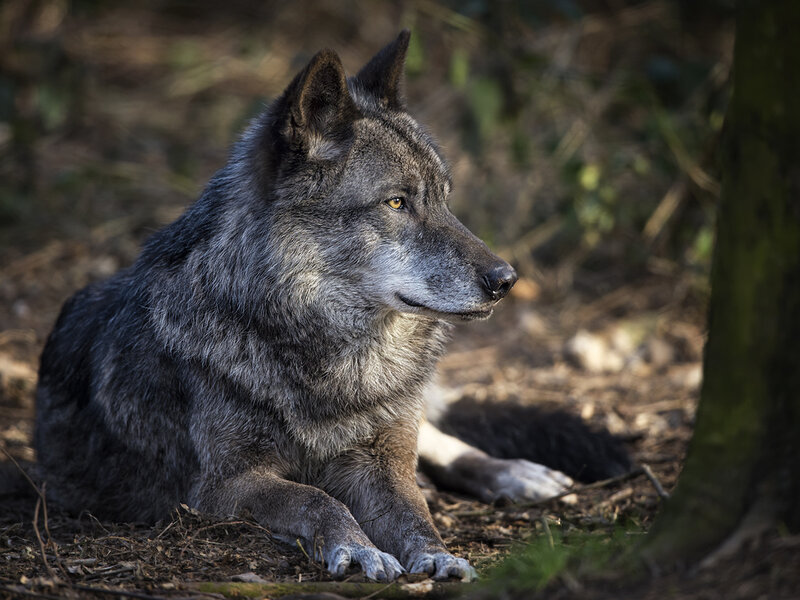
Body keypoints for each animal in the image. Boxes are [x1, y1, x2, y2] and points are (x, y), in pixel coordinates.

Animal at [34, 31, 628, 582]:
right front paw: (360, 548)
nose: (506, 280)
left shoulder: (381, 458)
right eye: (396, 202)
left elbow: (413, 511)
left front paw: (437, 553)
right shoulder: (223, 485)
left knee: (441, 443)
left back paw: (516, 474)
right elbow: (317, 499)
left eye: (444, 198)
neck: (334, 356)